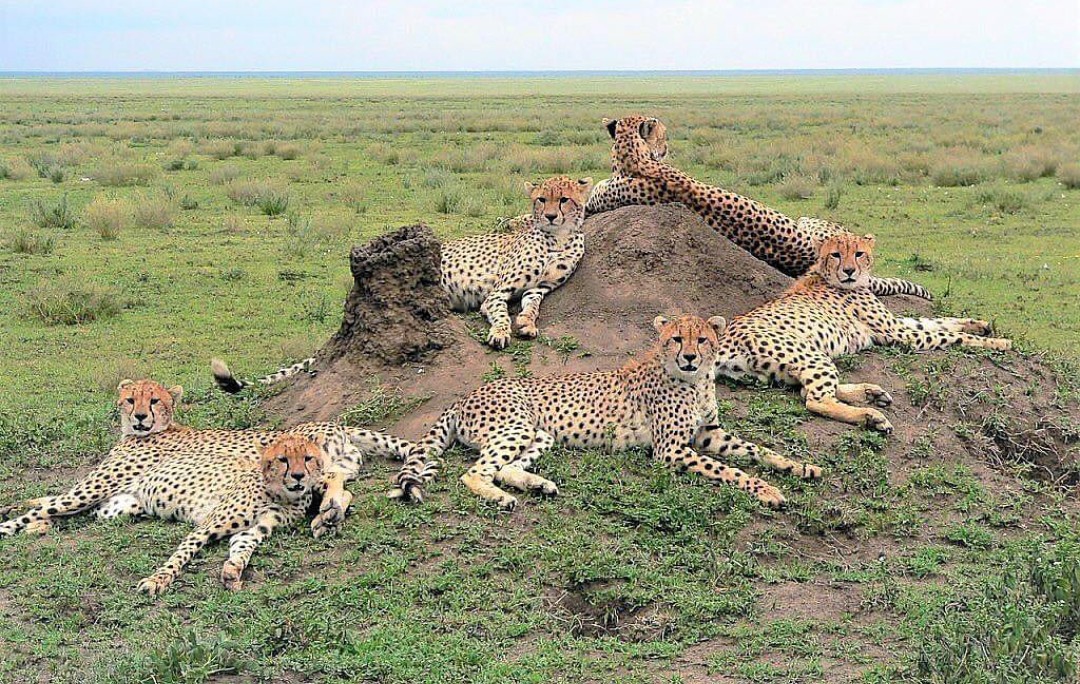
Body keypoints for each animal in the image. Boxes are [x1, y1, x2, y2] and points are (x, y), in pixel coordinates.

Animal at [0, 379, 421, 546]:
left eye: (154, 400)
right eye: (131, 399)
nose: (140, 417)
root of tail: (336, 423)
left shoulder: (95, 490)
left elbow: (47, 503)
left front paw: (16, 520)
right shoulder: (110, 503)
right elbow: (47, 505)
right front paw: (31, 516)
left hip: (307, 465)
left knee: (331, 483)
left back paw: (328, 511)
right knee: (344, 487)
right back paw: (330, 513)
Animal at [389, 314, 822, 511]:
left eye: (702, 339)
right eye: (675, 339)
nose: (689, 357)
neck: (695, 382)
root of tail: (467, 394)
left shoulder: (708, 433)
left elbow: (758, 451)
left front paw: (800, 467)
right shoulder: (671, 450)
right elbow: (732, 470)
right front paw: (767, 490)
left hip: (539, 433)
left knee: (504, 467)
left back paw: (538, 485)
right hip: (514, 427)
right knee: (475, 472)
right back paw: (502, 498)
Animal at [713, 233, 1011, 433]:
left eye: (858, 253)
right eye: (836, 254)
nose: (848, 271)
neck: (827, 275)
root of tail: (722, 340)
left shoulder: (900, 326)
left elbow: (936, 321)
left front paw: (979, 324)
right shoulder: (900, 334)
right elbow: (949, 336)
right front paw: (998, 342)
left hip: (779, 369)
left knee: (808, 389)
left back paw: (870, 393)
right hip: (810, 355)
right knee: (815, 400)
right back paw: (870, 415)